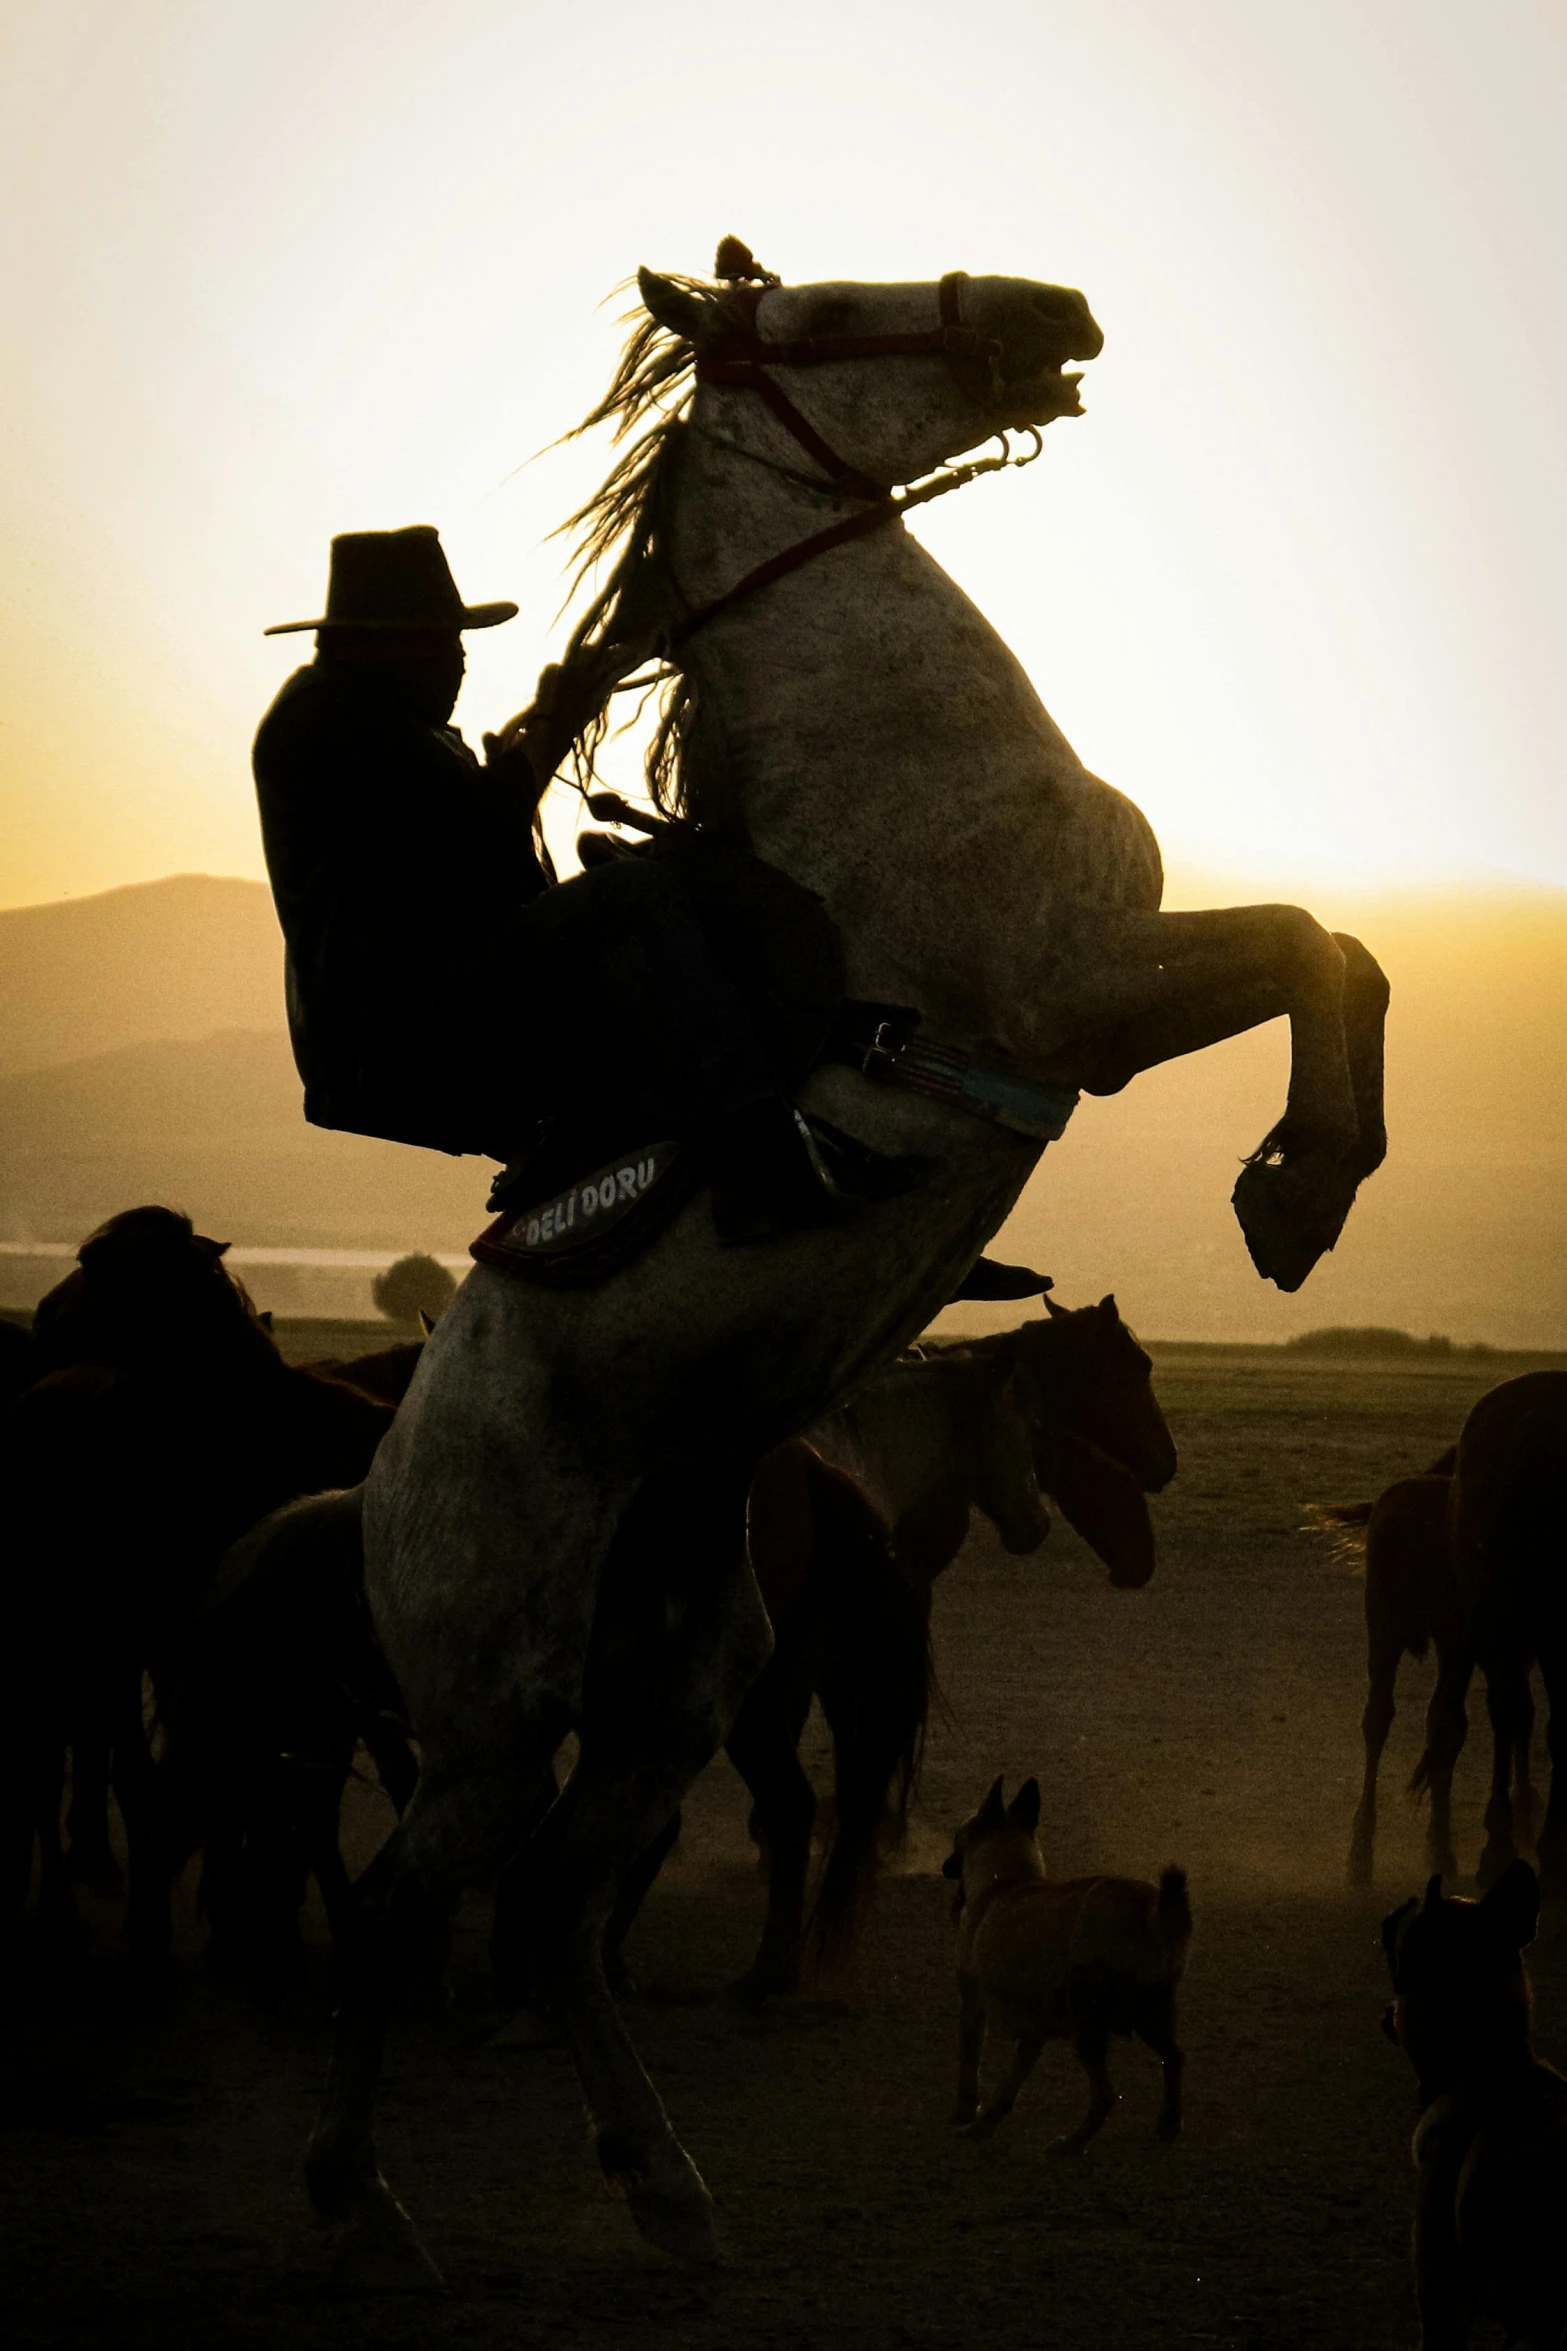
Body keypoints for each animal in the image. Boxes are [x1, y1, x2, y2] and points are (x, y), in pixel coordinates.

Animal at [944, 1777, 1188, 2153]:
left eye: (958, 1839)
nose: (945, 1866)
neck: (1006, 1882)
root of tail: (1151, 1913)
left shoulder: (974, 2009)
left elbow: (969, 2069)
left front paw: (965, 2115)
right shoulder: (1032, 2032)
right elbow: (1008, 2087)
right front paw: (984, 2126)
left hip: (1088, 2029)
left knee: (1105, 2096)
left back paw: (1072, 2145)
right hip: (1150, 2016)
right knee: (1173, 2058)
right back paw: (1169, 2122)